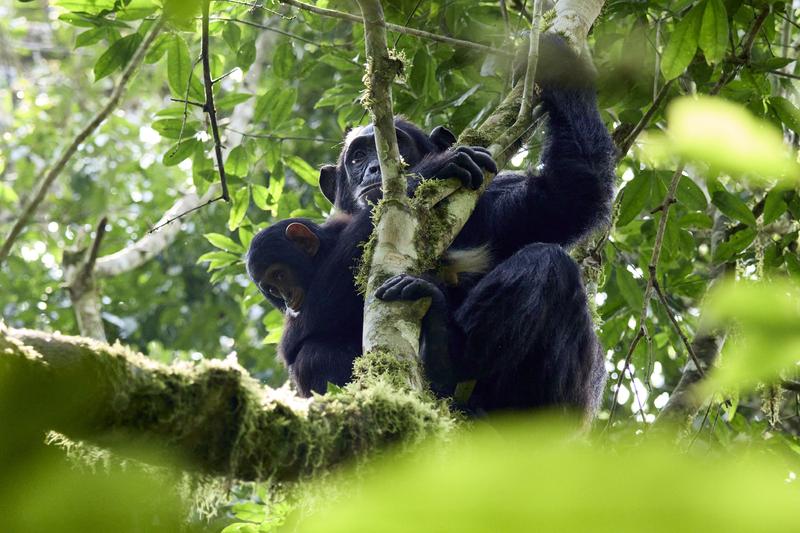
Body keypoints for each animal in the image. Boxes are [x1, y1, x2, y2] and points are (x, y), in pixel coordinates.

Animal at [310, 35, 612, 414]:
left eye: (399, 146)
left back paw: (450, 355)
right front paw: (434, 169)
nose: (374, 168)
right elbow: (314, 304)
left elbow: (570, 191)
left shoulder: (497, 202)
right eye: (357, 157)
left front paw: (555, 58)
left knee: (548, 263)